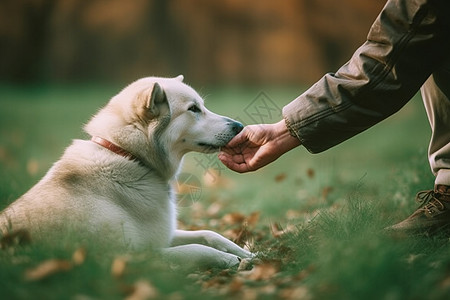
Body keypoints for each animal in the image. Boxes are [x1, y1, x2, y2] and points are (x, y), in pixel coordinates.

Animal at [0, 76, 253, 268]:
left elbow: (208, 233)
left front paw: (249, 253)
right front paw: (229, 259)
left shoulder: (163, 234)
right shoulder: (132, 254)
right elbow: (196, 248)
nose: (239, 127)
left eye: (202, 106)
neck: (130, 156)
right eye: (193, 109)